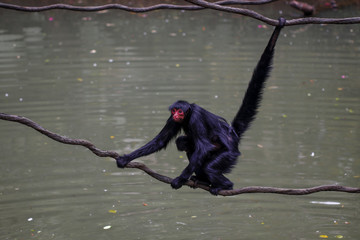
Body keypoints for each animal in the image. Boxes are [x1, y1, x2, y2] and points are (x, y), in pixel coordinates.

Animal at [116, 18, 286, 195]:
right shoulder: (172, 120)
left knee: (208, 165)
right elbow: (160, 141)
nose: (176, 114)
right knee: (187, 146)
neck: (189, 114)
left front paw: (179, 180)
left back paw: (226, 185)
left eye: (180, 111)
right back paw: (203, 180)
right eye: (174, 111)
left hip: (229, 154)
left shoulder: (196, 118)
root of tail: (232, 134)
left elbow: (203, 146)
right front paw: (126, 158)